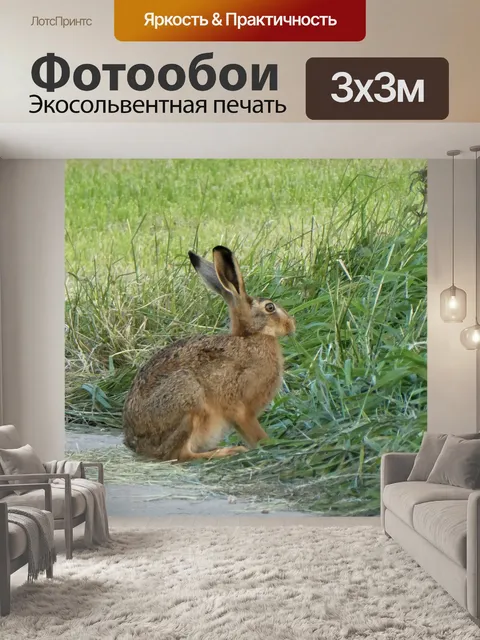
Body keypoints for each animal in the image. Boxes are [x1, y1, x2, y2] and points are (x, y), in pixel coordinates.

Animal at [123, 245, 296, 462]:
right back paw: (228, 451)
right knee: (179, 454)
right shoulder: (240, 407)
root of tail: (136, 444)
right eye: (270, 307)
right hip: (187, 398)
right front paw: (270, 443)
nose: (291, 325)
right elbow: (252, 430)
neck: (250, 337)